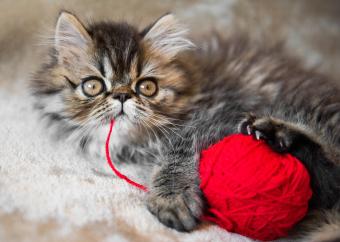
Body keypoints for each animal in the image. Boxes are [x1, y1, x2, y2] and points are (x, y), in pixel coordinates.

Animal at [31, 11, 340, 242]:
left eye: (147, 87)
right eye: (93, 86)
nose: (121, 95)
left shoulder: (221, 116)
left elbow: (177, 153)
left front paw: (172, 198)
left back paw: (274, 133)